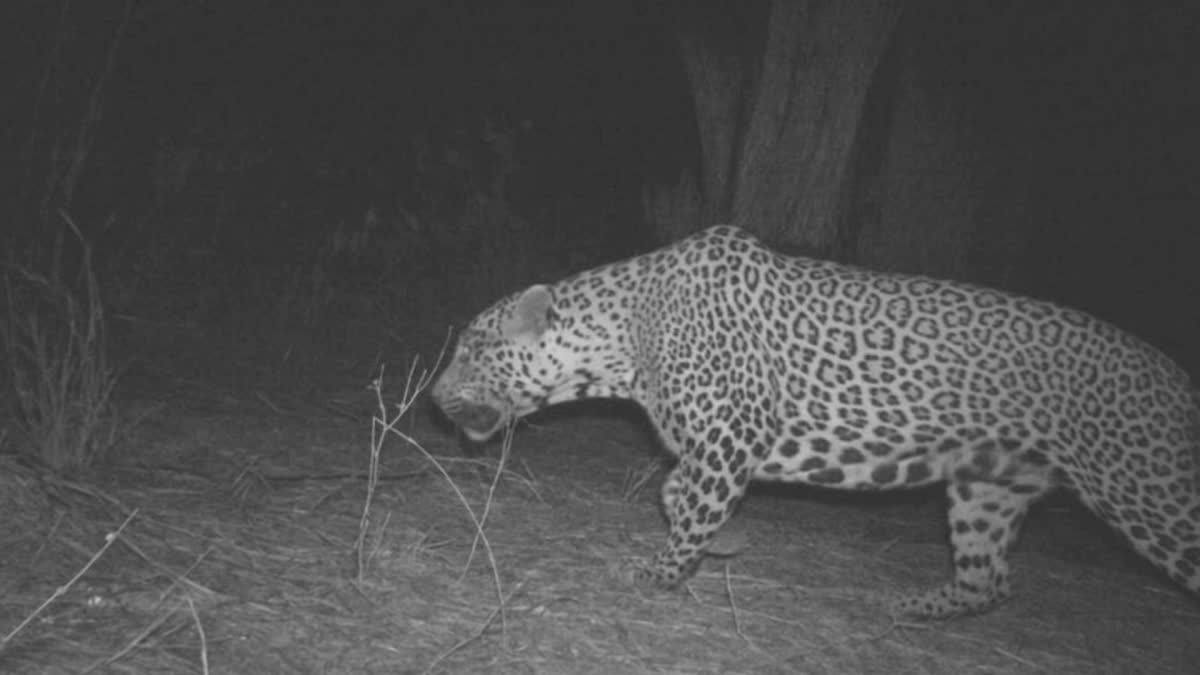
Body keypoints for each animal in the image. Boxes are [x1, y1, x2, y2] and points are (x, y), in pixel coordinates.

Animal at [432, 223, 1200, 619]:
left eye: (472, 347)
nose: (434, 398)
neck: (621, 338)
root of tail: (1178, 379)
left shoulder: (730, 438)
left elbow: (688, 503)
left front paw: (662, 571)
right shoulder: (715, 448)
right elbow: (676, 492)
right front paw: (721, 543)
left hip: (1153, 498)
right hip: (988, 488)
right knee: (990, 580)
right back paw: (912, 606)